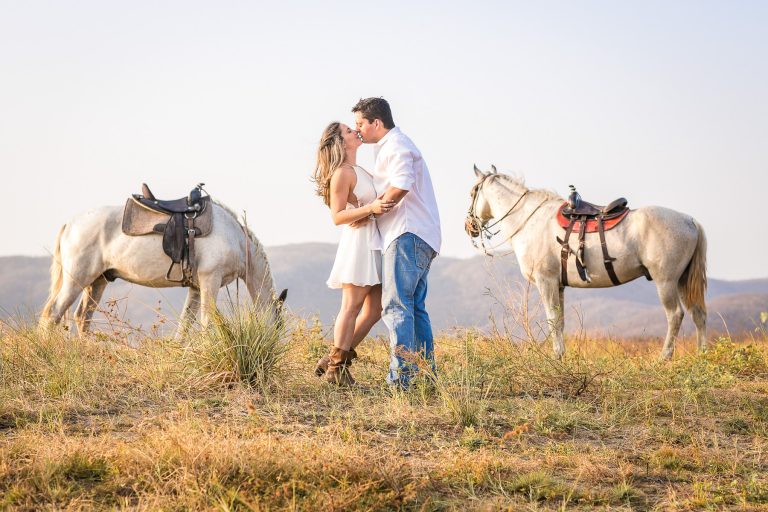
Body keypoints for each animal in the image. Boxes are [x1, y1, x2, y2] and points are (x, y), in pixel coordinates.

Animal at [39, 202, 284, 338]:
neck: (235, 239)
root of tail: (70, 224)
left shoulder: (196, 288)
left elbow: (185, 324)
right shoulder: (210, 281)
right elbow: (206, 321)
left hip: (97, 281)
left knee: (82, 317)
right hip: (76, 279)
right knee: (53, 314)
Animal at [464, 166, 704, 358]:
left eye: (472, 192)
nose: (469, 226)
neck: (530, 220)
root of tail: (690, 220)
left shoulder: (546, 281)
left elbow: (552, 320)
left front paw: (557, 357)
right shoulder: (558, 285)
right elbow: (560, 322)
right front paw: (562, 356)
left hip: (666, 281)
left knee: (675, 315)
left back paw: (664, 357)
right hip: (681, 281)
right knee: (698, 314)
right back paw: (701, 357)